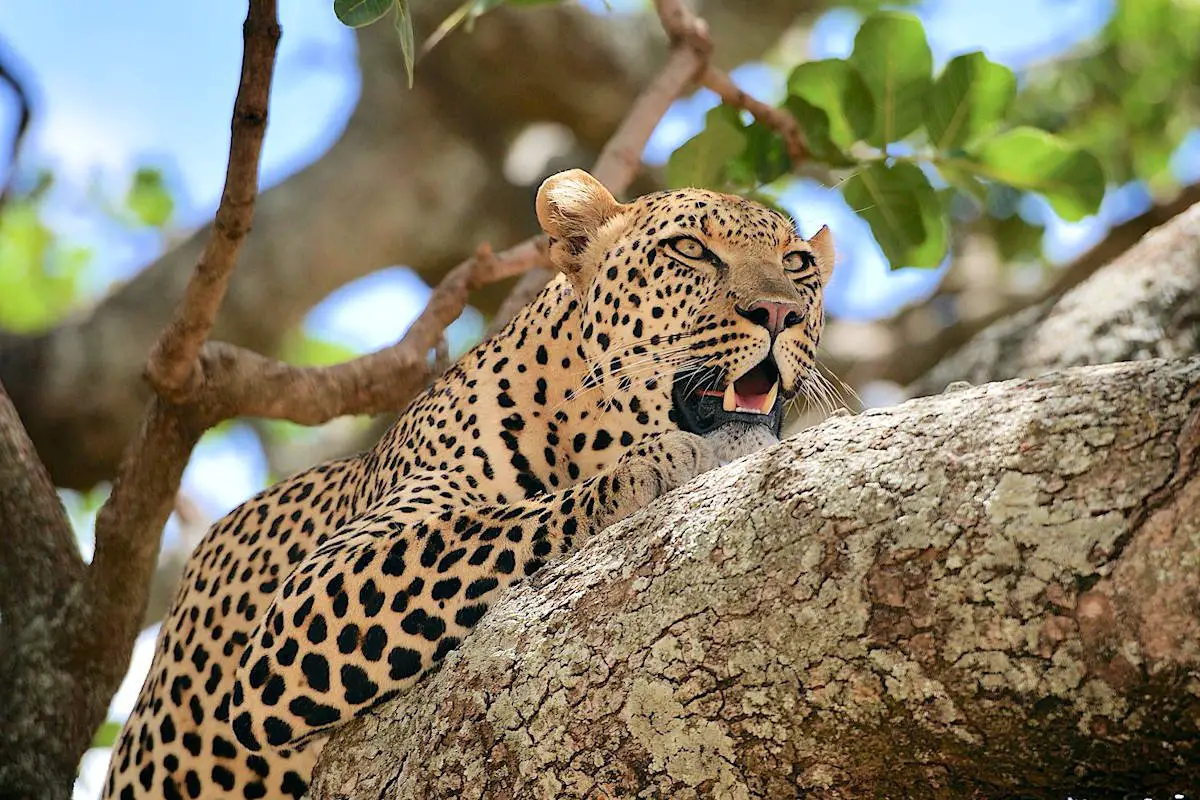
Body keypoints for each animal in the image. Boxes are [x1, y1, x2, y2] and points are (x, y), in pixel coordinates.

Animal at [101, 169, 835, 800]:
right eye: (690, 251)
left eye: (799, 265)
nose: (779, 312)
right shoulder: (303, 607)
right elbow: (488, 525)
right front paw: (651, 465)